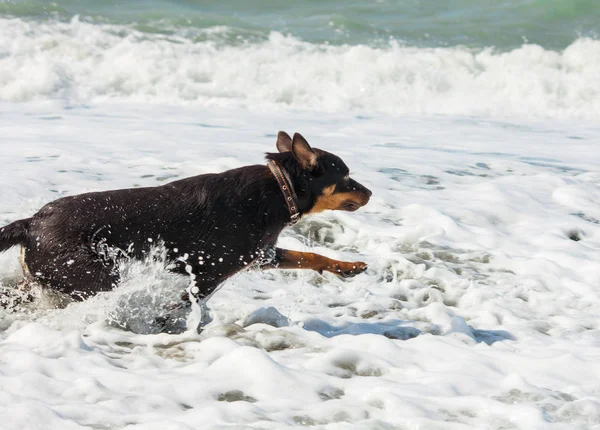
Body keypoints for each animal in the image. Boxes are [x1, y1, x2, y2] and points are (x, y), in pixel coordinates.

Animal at [0, 133, 372, 328]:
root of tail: (31, 222)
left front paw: (348, 267)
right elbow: (184, 301)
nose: (369, 192)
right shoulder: (212, 272)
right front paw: (166, 320)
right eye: (346, 176)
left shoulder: (260, 255)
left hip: (43, 279)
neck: (280, 191)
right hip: (92, 275)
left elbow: (309, 255)